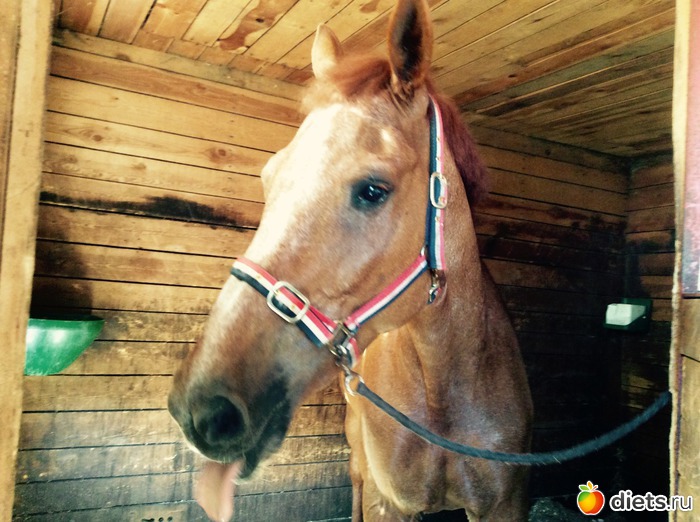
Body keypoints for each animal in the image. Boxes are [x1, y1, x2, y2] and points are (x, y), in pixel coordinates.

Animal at [168, 0, 533, 520]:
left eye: (373, 190)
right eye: (269, 178)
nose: (201, 412)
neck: (445, 383)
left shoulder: (506, 503)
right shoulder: (390, 502)